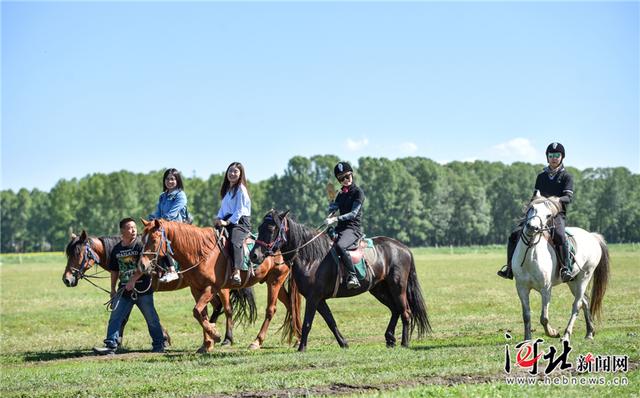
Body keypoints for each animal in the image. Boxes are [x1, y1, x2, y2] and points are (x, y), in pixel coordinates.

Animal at [62, 230, 258, 348]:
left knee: (227, 309)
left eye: (78, 253)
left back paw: (226, 338)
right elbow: (127, 315)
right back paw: (210, 330)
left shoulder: (141, 290)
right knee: (217, 308)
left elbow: (137, 316)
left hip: (221, 288)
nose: (66, 279)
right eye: (68, 253)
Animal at [140, 218, 300, 352]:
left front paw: (215, 335)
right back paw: (298, 338)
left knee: (270, 310)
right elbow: (201, 313)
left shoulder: (211, 288)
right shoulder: (196, 289)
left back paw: (256, 341)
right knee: (290, 305)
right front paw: (207, 343)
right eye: (142, 239)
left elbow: (197, 311)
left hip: (274, 281)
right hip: (273, 282)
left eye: (154, 239)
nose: (142, 265)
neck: (200, 252)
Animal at [250, 210, 430, 350]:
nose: (254, 255)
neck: (311, 258)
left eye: (271, 228)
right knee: (395, 310)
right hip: (379, 289)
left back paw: (404, 343)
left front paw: (302, 347)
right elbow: (331, 321)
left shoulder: (313, 298)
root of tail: (403, 248)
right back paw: (390, 339)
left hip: (397, 288)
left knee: (405, 312)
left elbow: (308, 322)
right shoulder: (319, 299)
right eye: (259, 228)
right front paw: (343, 343)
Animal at [510, 193, 608, 342]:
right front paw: (527, 339)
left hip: (584, 277)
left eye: (548, 215)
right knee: (585, 301)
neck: (530, 255)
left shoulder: (546, 289)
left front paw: (553, 332)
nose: (532, 227)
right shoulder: (522, 288)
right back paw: (589, 332)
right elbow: (526, 315)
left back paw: (566, 335)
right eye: (531, 208)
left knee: (577, 305)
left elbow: (544, 317)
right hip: (572, 281)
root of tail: (592, 236)